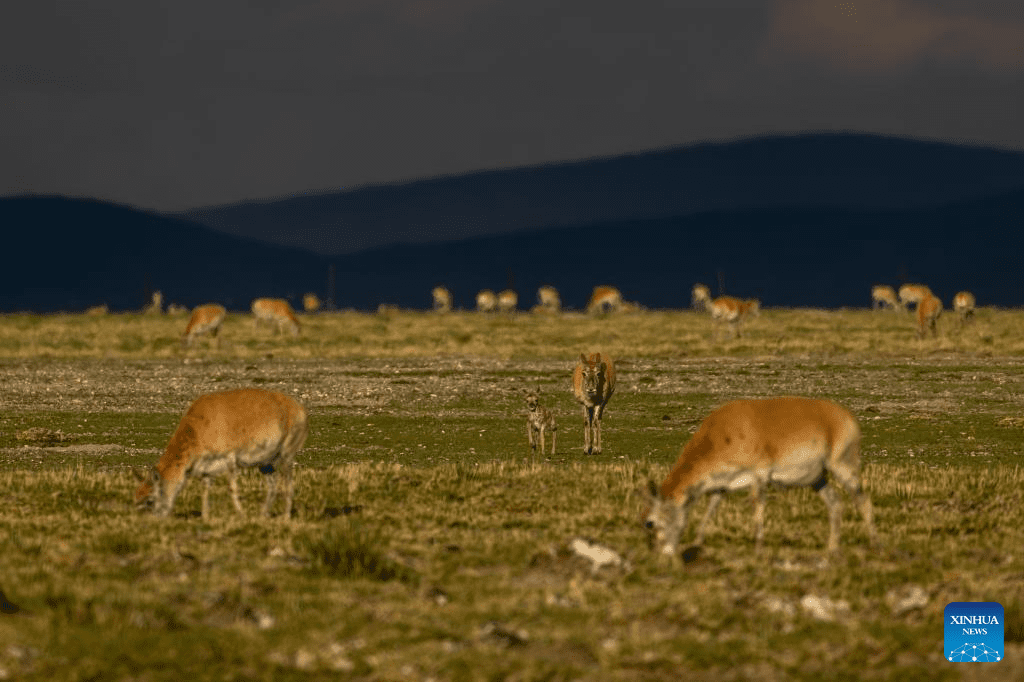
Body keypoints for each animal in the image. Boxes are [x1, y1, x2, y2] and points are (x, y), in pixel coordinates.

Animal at [634, 393, 876, 557]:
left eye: (650, 522)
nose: (659, 553)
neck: (721, 434)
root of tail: (847, 417)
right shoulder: (721, 486)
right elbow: (710, 511)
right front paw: (697, 542)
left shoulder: (760, 475)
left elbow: (757, 507)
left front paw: (758, 547)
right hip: (818, 480)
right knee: (835, 504)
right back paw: (832, 548)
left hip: (842, 467)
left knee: (863, 501)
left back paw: (876, 545)